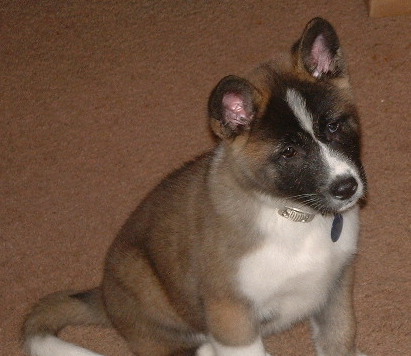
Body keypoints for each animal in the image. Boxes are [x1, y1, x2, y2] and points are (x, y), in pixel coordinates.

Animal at [22, 17, 370, 356]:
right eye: (288, 152)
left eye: (334, 127)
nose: (347, 188)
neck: (293, 216)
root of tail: (104, 298)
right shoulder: (230, 313)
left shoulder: (336, 288)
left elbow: (340, 336)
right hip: (143, 278)